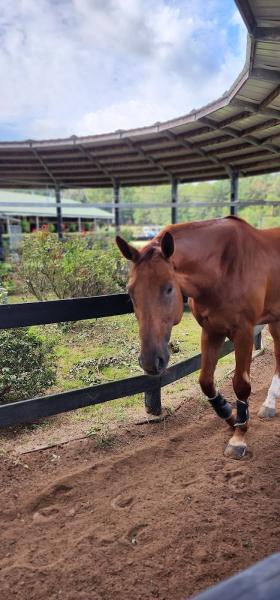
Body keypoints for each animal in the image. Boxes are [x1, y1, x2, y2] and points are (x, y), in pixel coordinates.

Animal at [116, 217, 280, 460]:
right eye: (130, 292)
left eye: (168, 288)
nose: (150, 361)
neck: (223, 268)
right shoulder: (211, 331)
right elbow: (206, 382)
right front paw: (230, 415)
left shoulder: (244, 333)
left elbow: (241, 384)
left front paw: (239, 436)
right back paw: (269, 403)